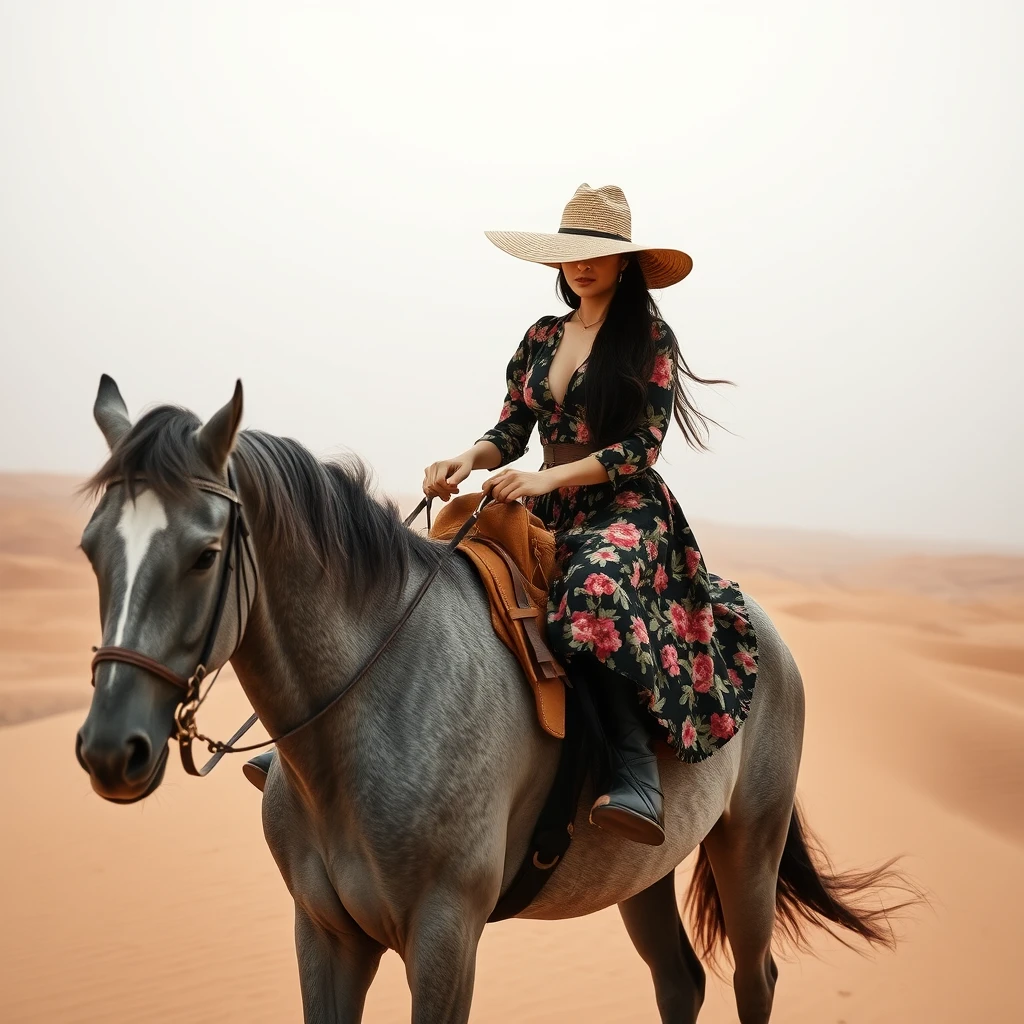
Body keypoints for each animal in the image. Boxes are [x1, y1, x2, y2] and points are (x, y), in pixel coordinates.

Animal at [75, 380, 917, 1024]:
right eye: (91, 548)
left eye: (205, 554)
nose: (111, 750)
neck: (366, 715)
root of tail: (766, 631)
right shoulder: (322, 933)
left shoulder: (446, 938)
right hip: (644, 870)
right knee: (681, 982)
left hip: (751, 847)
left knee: (753, 981)